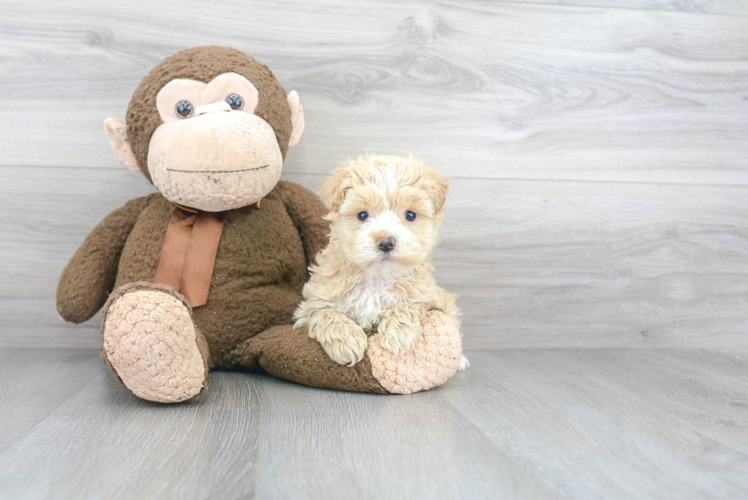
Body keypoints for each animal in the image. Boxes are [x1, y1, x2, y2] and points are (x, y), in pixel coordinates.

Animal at [294, 154, 464, 370]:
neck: (377, 277)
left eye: (410, 215)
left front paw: (399, 334)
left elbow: (409, 304)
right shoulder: (314, 302)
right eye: (362, 215)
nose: (385, 242)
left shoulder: (428, 295)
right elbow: (324, 313)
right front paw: (347, 341)